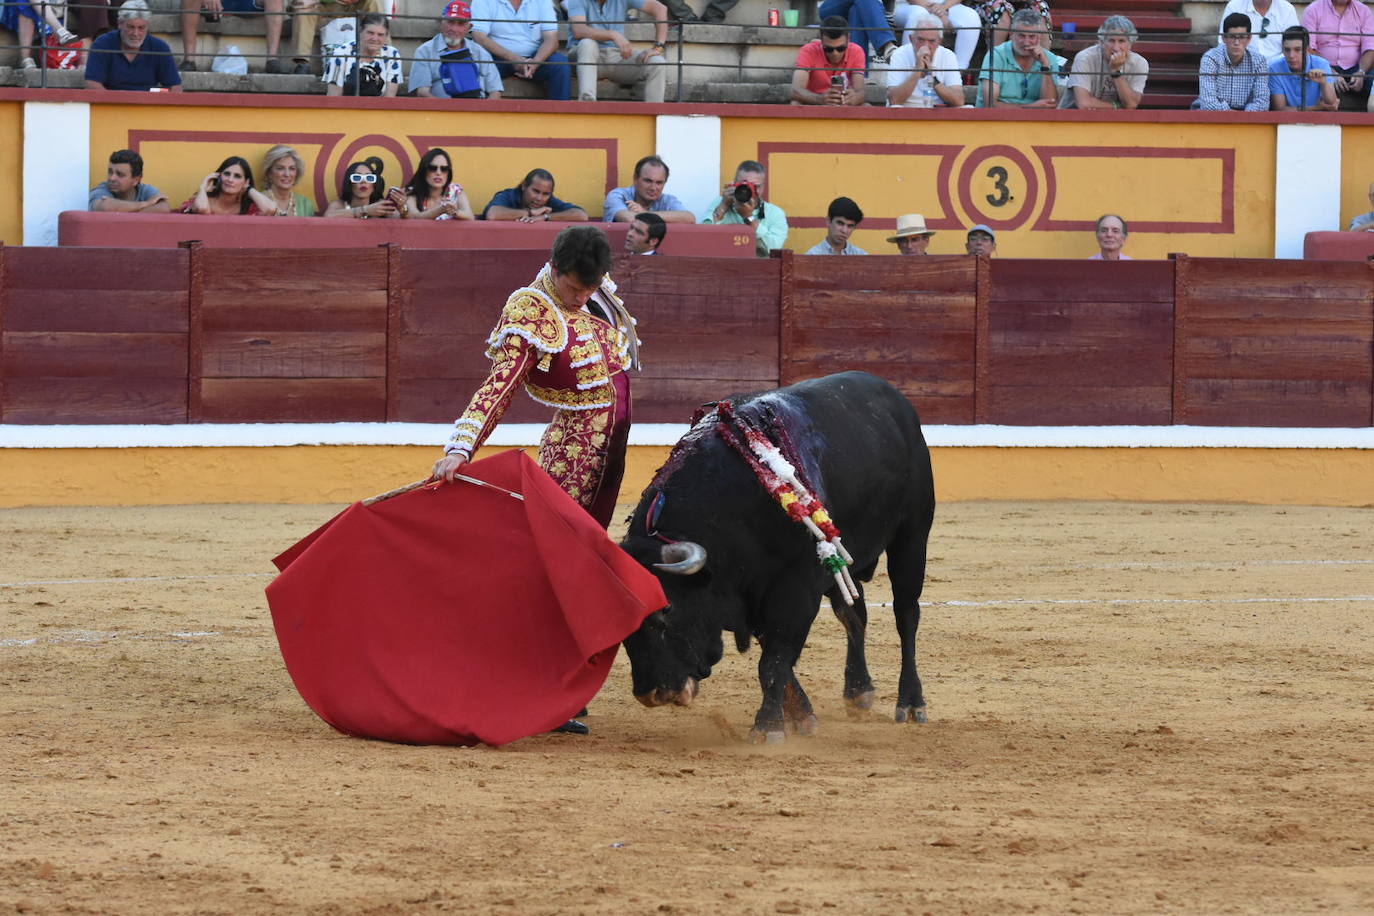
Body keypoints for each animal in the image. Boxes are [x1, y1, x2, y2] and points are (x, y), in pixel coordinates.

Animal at [621, 373, 934, 747]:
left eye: (666, 610)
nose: (651, 693)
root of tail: (894, 396)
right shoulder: (755, 591)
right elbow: (777, 656)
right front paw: (802, 716)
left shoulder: (795, 588)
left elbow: (773, 661)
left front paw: (768, 726)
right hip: (838, 560)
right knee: (854, 614)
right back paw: (858, 691)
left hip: (912, 535)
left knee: (907, 615)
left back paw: (912, 703)